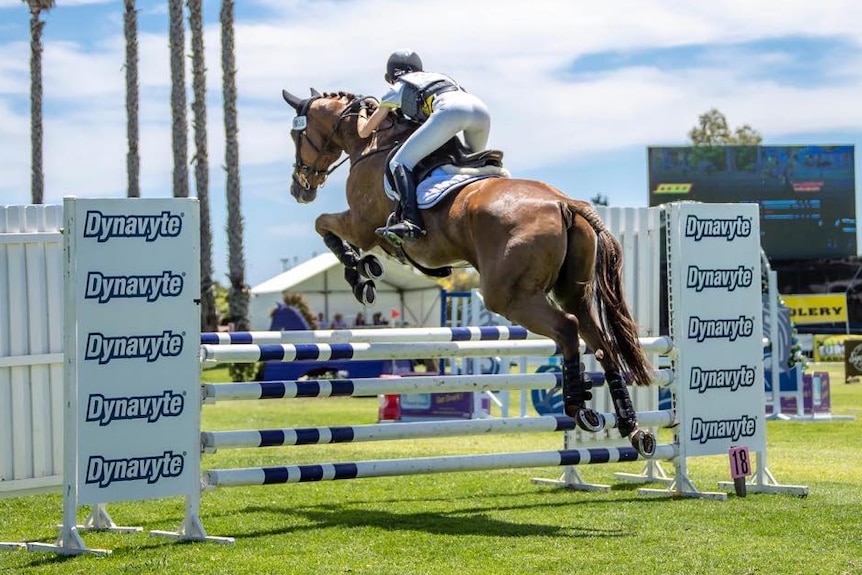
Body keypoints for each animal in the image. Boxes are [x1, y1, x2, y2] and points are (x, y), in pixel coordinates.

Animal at [286, 88, 660, 456]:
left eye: (297, 134)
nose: (299, 188)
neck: (369, 145)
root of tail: (563, 202)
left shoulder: (363, 225)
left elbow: (324, 225)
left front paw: (360, 273)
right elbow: (332, 230)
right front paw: (364, 268)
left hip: (508, 297)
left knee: (567, 329)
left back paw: (578, 407)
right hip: (572, 292)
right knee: (601, 342)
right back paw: (632, 428)